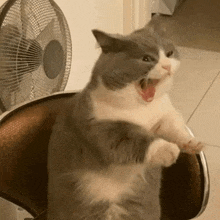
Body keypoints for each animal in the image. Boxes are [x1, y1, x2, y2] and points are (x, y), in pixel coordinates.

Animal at [47, 17, 204, 220]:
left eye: (169, 53)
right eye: (146, 59)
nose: (167, 66)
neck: (142, 109)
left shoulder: (164, 116)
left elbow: (175, 128)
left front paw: (192, 144)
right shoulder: (97, 126)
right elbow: (130, 137)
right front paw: (168, 150)